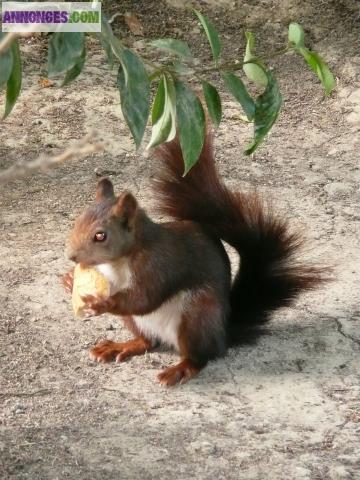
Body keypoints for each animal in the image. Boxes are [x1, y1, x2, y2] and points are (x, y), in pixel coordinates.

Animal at [62, 134, 326, 386]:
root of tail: (223, 333)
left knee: (199, 357)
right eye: (78, 220)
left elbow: (144, 298)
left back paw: (179, 369)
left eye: (100, 236)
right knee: (149, 341)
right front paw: (69, 281)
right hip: (138, 322)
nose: (71, 256)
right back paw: (122, 346)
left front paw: (101, 303)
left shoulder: (159, 265)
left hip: (196, 314)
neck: (120, 261)